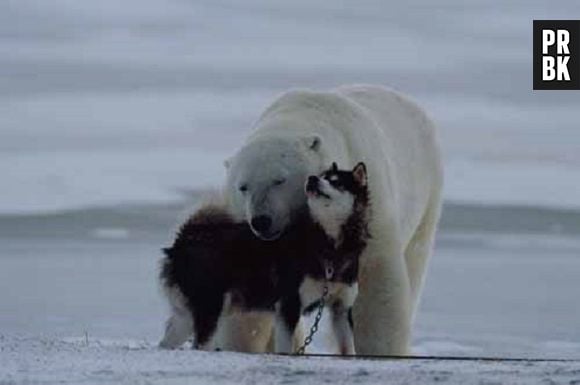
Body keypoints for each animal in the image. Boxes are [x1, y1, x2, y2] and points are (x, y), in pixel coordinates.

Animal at [159, 160, 370, 352]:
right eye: (322, 176)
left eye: (336, 182)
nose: (312, 179)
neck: (328, 245)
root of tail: (185, 238)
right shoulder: (289, 305)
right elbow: (285, 349)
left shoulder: (341, 309)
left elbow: (349, 350)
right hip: (210, 307)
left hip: (187, 316)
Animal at [222, 85, 444, 354]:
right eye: (242, 186)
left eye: (279, 180)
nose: (261, 220)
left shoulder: (368, 208)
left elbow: (375, 282)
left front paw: (382, 351)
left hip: (427, 191)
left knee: (415, 259)